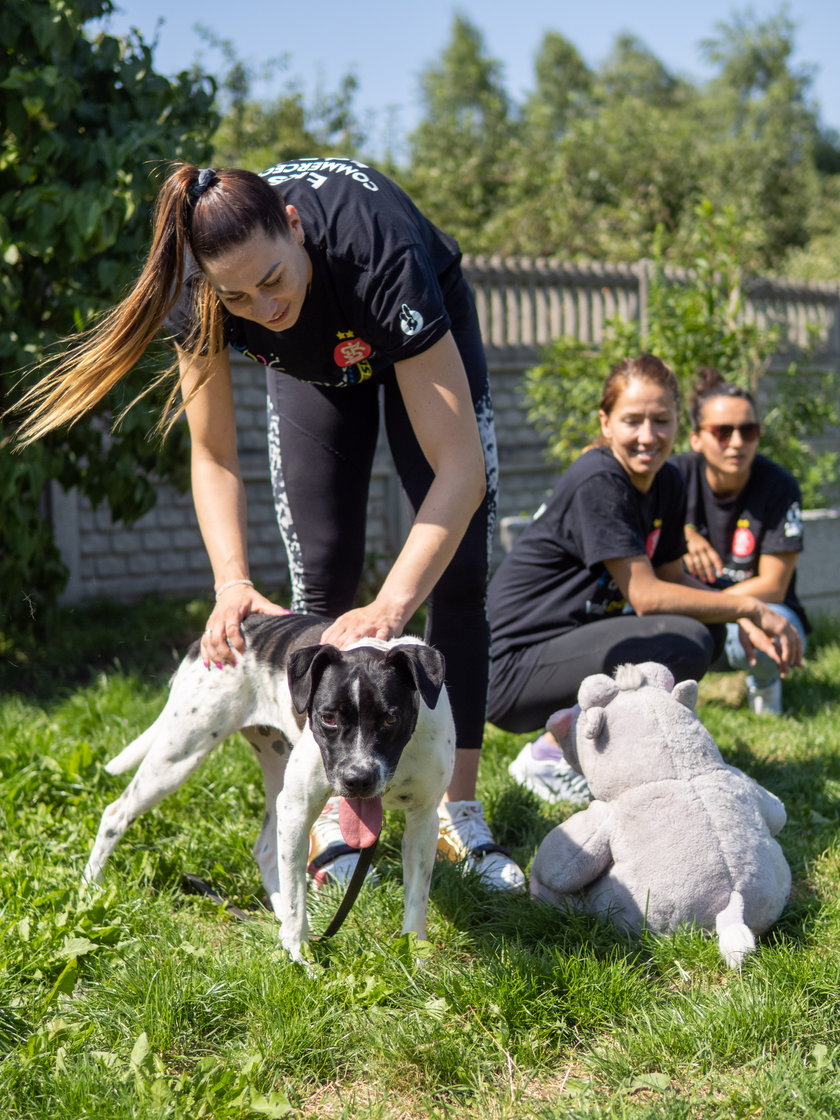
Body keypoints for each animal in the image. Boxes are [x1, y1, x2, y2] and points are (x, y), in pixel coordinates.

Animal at [82, 613, 456, 963]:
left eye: (390, 719)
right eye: (328, 717)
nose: (357, 779)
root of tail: (249, 621)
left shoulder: (423, 820)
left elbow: (416, 901)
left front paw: (418, 961)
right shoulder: (299, 808)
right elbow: (296, 894)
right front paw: (301, 958)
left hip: (276, 775)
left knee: (266, 852)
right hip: (179, 757)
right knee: (115, 813)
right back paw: (90, 890)